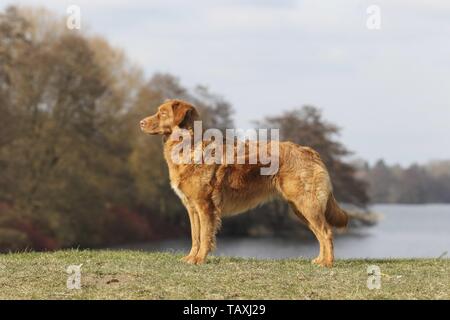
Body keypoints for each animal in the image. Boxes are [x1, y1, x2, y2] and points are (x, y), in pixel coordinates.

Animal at [140, 99, 348, 266]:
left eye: (163, 113)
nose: (141, 123)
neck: (188, 146)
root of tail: (310, 152)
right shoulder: (191, 207)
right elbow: (195, 236)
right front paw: (191, 257)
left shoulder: (205, 205)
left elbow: (205, 236)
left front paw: (199, 259)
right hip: (300, 208)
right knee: (320, 233)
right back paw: (319, 260)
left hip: (307, 204)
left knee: (326, 232)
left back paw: (328, 263)